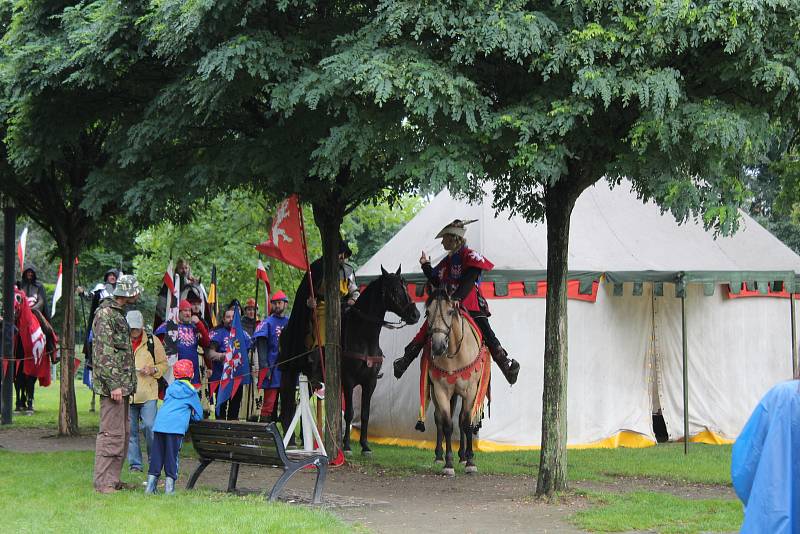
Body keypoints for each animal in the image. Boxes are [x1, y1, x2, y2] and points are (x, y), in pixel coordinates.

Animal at [342, 264, 422, 456]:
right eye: (395, 290)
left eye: (406, 287)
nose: (415, 315)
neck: (362, 338)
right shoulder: (348, 381)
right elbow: (349, 413)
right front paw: (347, 446)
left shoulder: (370, 382)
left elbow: (365, 413)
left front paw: (365, 445)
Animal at [424, 288, 488, 478]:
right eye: (427, 312)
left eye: (450, 311)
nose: (438, 346)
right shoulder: (441, 391)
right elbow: (446, 424)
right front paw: (448, 463)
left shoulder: (470, 391)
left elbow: (466, 423)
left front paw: (470, 462)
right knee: (439, 418)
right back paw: (439, 456)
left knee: (461, 419)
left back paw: (464, 457)